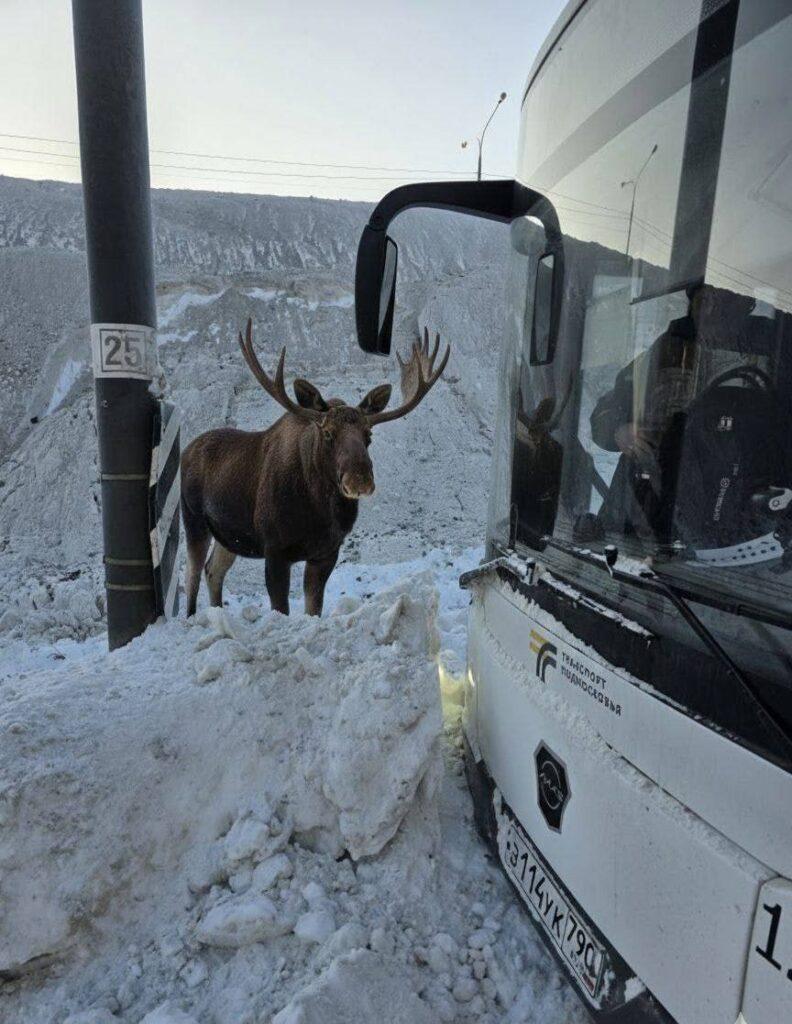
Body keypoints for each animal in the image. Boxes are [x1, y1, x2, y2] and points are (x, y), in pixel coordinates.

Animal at [180, 321, 449, 617]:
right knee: (192, 573)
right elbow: (281, 609)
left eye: (368, 435)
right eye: (328, 433)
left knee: (213, 570)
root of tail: (186, 450)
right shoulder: (275, 549)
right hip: (193, 519)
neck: (317, 512)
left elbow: (313, 608)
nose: (360, 480)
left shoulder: (326, 552)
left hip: (229, 535)